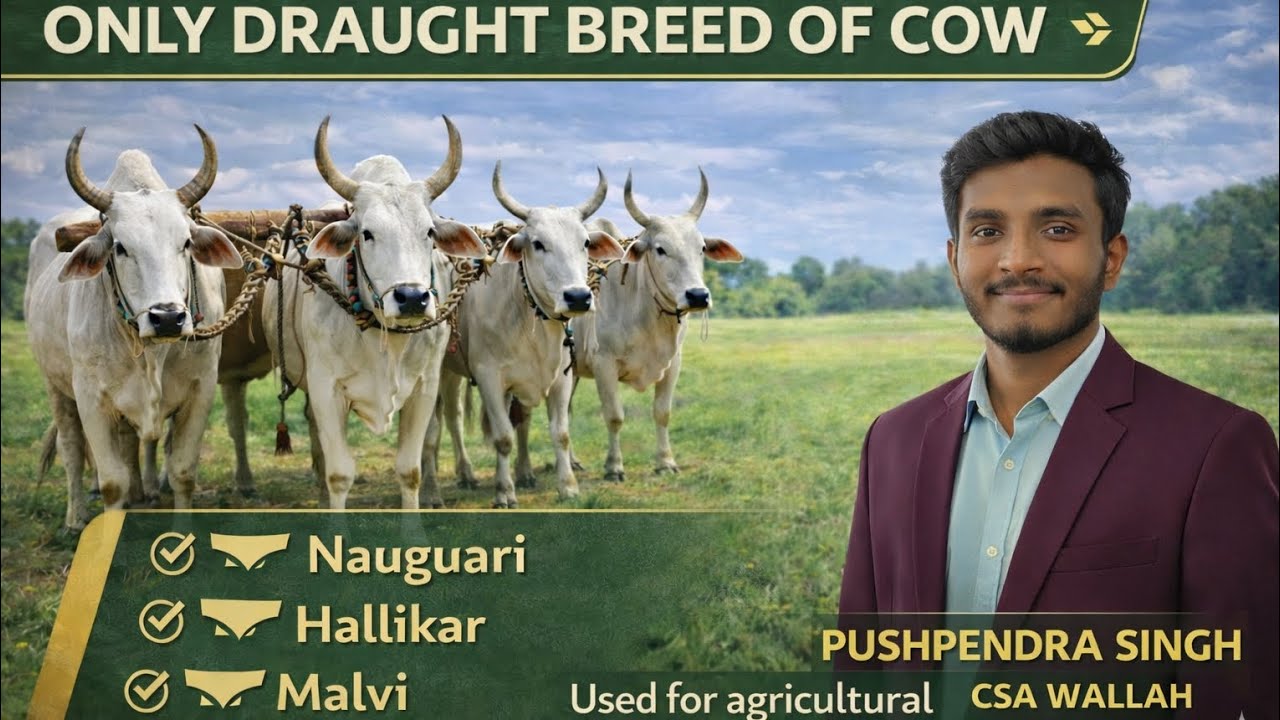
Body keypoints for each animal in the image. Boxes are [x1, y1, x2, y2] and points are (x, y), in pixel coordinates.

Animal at [25, 126, 241, 530]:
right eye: (121, 247)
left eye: (185, 243)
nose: (168, 317)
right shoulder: (91, 397)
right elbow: (112, 482)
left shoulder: (202, 388)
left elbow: (182, 472)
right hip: (55, 386)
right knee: (71, 449)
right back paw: (76, 516)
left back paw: (143, 494)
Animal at [263, 116, 488, 510]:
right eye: (366, 233)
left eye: (429, 231)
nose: (411, 298)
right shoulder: (325, 389)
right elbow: (339, 475)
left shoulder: (425, 388)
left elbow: (410, 471)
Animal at [420, 162, 623, 508]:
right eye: (538, 243)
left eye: (585, 243)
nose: (578, 297)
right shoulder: (489, 378)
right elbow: (503, 437)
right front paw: (504, 492)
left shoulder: (559, 379)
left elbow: (560, 433)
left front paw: (568, 487)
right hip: (441, 371)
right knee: (441, 424)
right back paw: (434, 489)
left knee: (460, 416)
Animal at [569, 169, 743, 482]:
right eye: (661, 249)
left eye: (701, 248)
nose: (697, 295)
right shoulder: (604, 365)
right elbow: (614, 416)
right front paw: (614, 467)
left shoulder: (673, 364)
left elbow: (662, 412)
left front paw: (666, 462)